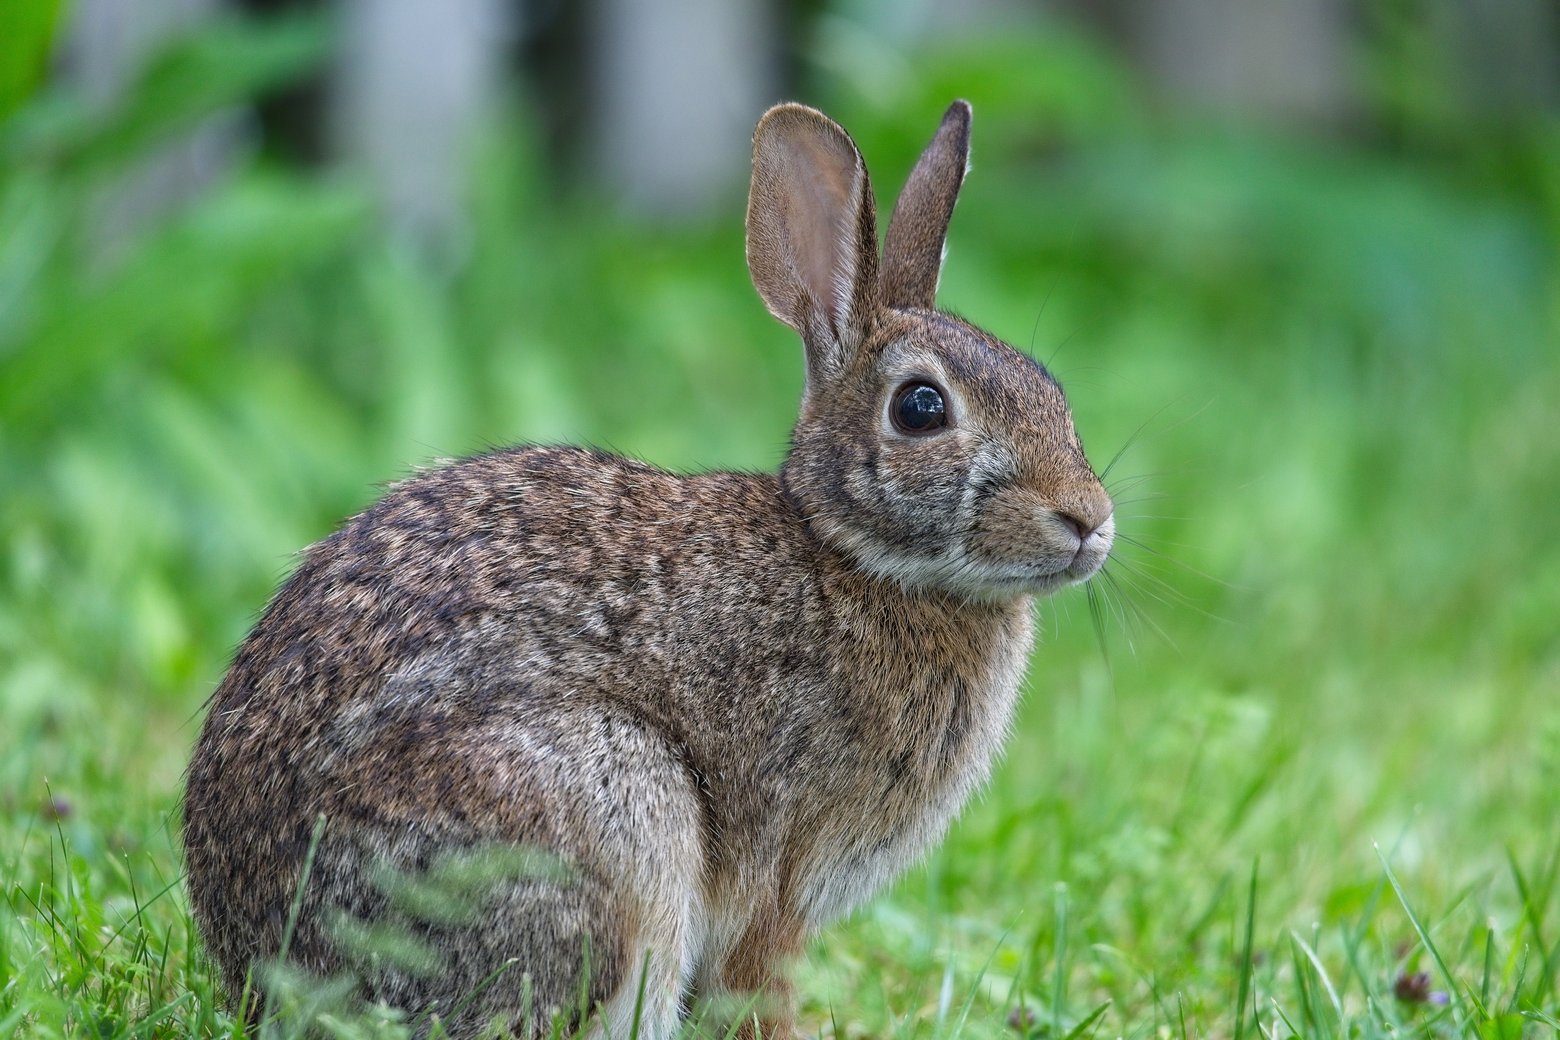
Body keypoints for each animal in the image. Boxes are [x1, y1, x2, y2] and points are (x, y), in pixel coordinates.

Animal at [181, 99, 1116, 1040]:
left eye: (1051, 388)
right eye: (921, 408)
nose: (1089, 519)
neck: (851, 553)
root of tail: (271, 972)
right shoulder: (781, 873)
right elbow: (758, 986)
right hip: (611, 809)